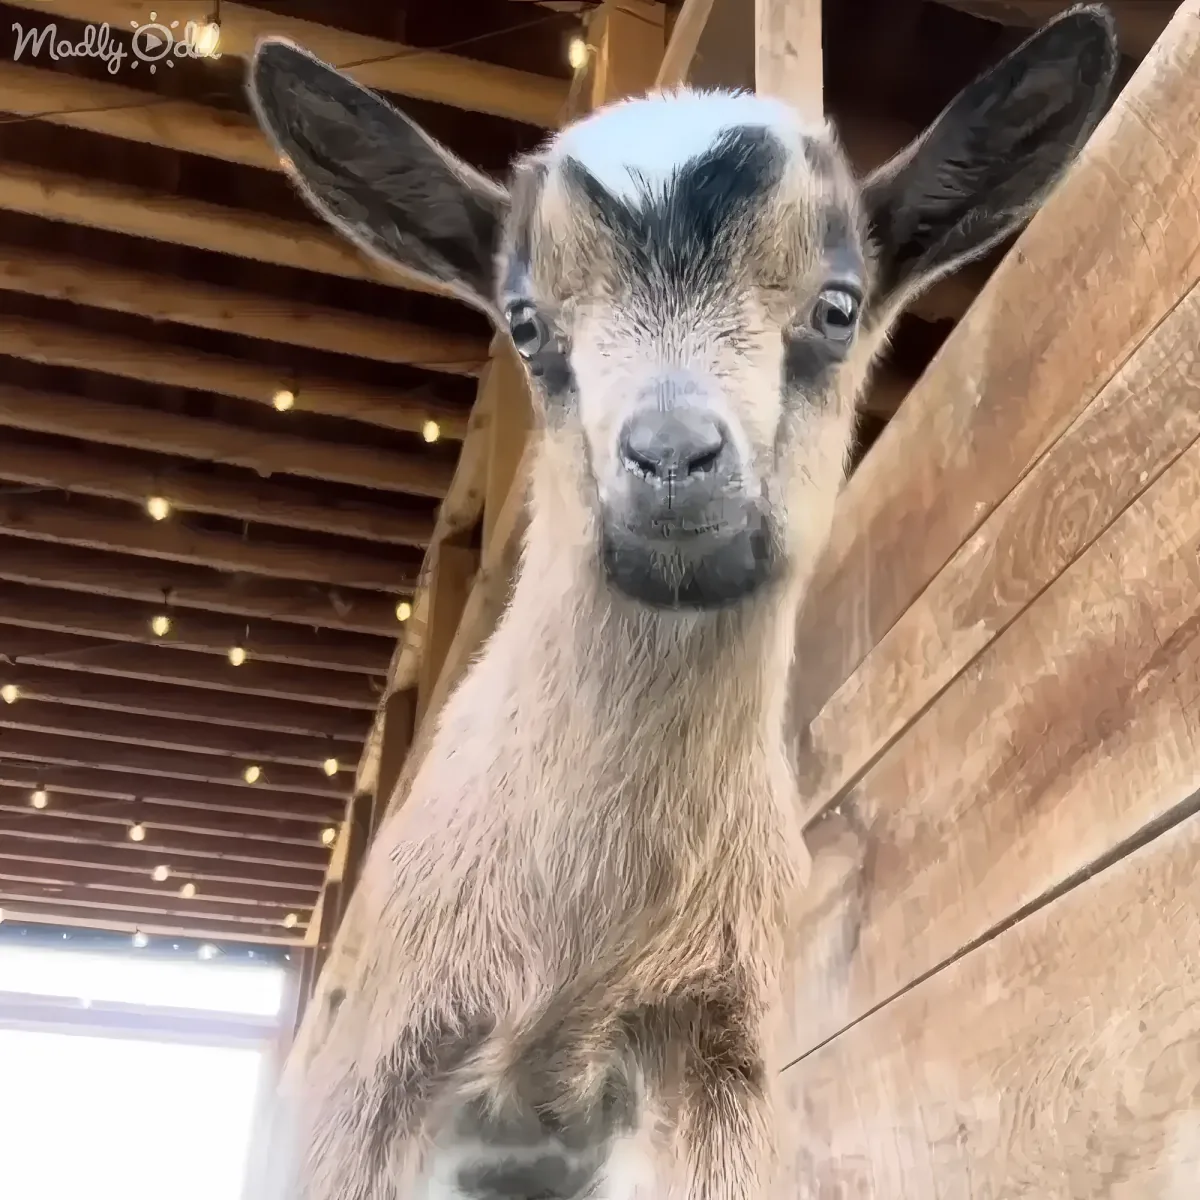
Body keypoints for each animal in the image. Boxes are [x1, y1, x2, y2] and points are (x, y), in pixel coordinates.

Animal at [248, 7, 1117, 1197]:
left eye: (837, 306)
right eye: (525, 323)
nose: (669, 456)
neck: (574, 935)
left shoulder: (717, 1055)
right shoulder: (384, 1064)